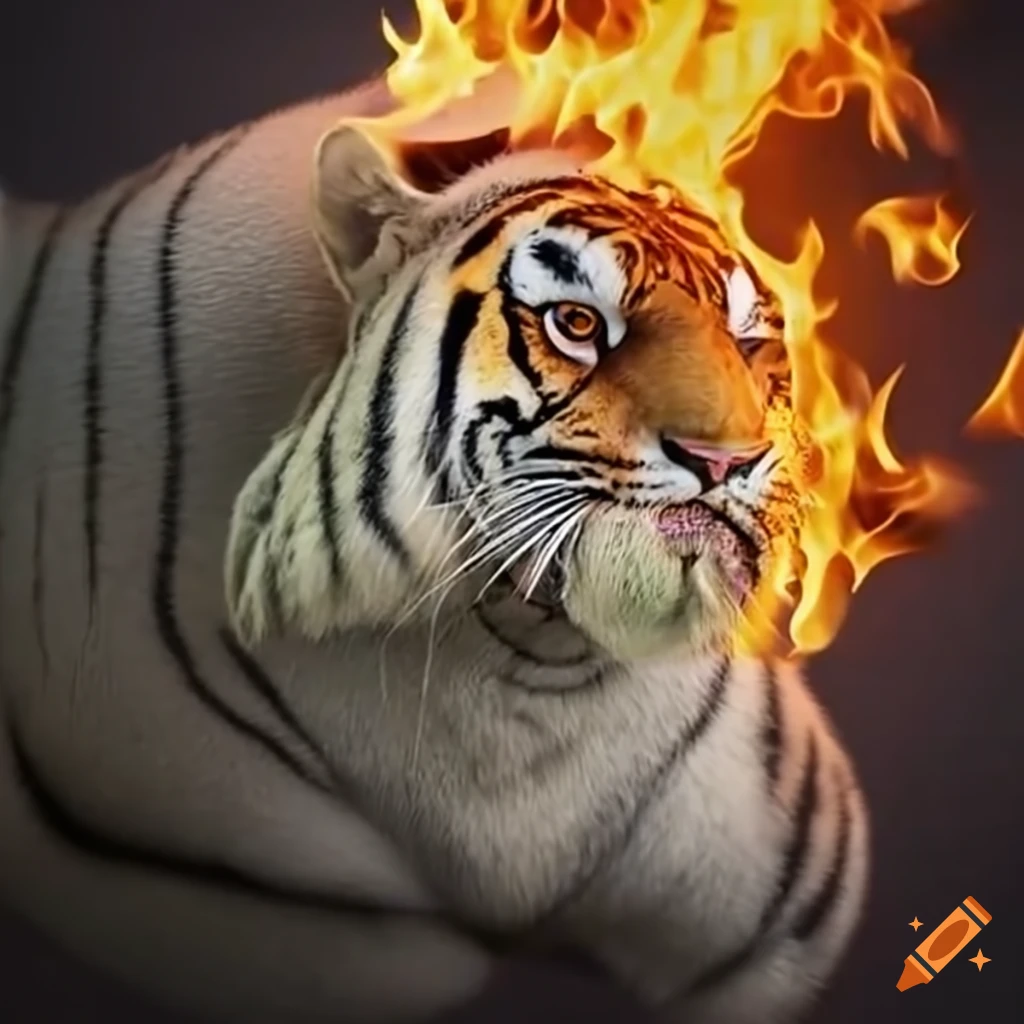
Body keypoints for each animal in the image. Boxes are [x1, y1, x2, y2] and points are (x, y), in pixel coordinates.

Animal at [0, 72, 869, 1024]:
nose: (727, 460)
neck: (533, 665)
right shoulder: (225, 877)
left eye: (749, 341)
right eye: (577, 323)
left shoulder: (781, 911)